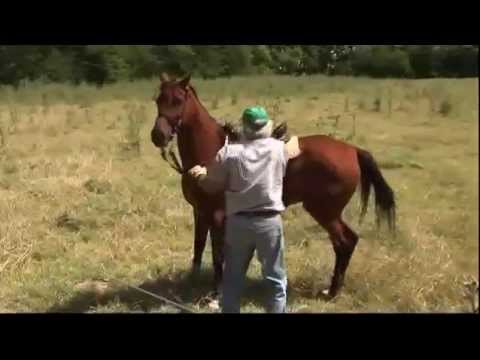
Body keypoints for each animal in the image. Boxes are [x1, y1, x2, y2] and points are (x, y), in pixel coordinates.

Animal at [151, 73, 398, 298]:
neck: (211, 154)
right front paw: (193, 282)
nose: (158, 135)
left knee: (344, 242)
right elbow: (199, 247)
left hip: (324, 211)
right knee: (348, 241)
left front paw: (216, 293)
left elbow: (217, 253)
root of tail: (352, 150)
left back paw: (332, 291)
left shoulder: (217, 215)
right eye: (158, 100)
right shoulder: (200, 212)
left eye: (178, 100)